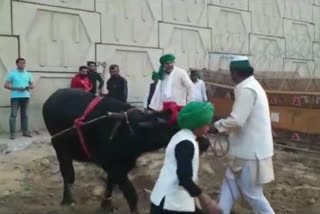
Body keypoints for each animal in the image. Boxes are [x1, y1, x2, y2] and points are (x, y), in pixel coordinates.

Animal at [41, 88, 209, 212]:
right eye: (176, 126)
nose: (206, 143)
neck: (131, 131)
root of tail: (52, 97)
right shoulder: (115, 168)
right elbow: (132, 195)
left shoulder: (117, 167)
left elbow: (110, 184)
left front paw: (106, 205)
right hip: (59, 147)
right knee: (67, 173)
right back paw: (67, 199)